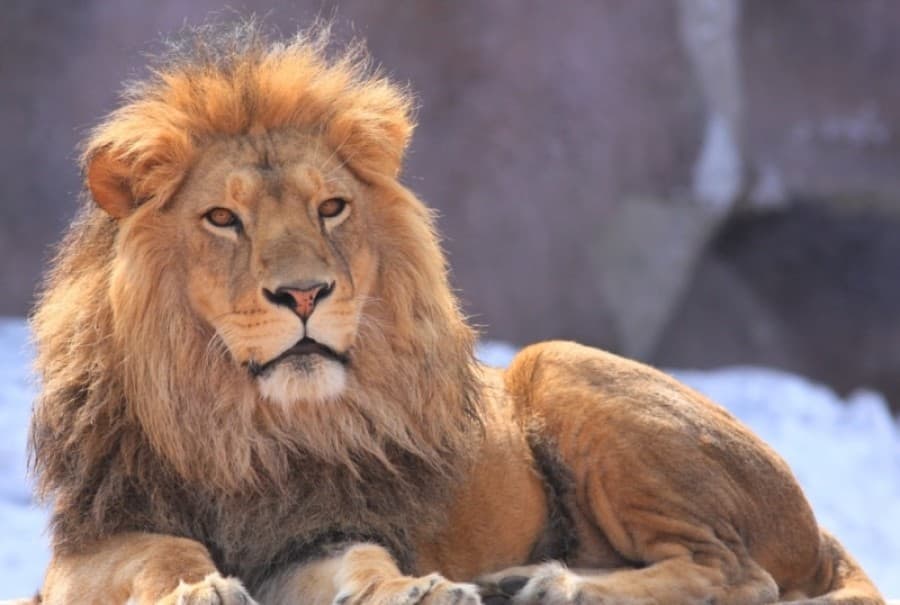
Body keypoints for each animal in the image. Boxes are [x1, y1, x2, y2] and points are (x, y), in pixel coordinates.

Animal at [27, 22, 883, 605]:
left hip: (560, 361)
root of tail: (820, 531)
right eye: (222, 219)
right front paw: (198, 585)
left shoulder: (323, 524)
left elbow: (361, 557)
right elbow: (161, 548)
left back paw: (550, 583)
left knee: (737, 574)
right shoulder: (87, 543)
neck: (246, 425)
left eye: (331, 208)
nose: (304, 294)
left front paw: (419, 587)